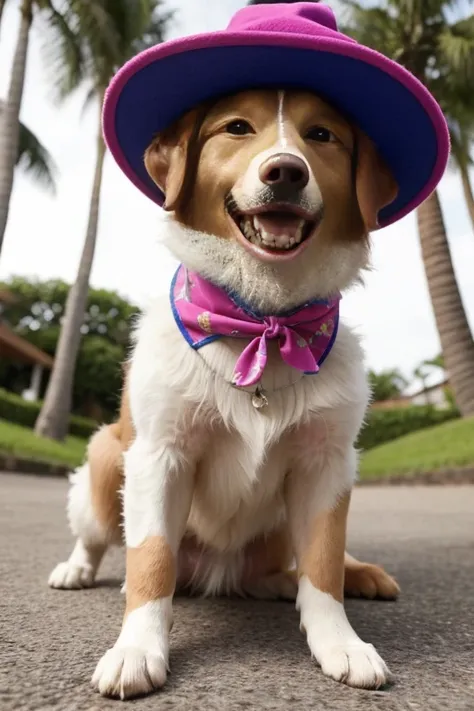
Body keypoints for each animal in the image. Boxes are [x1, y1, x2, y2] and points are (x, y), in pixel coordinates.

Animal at [51, 86, 400, 700]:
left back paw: (323, 577)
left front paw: (340, 641)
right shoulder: (159, 456)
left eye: (322, 135)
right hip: (104, 459)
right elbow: (151, 561)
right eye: (237, 127)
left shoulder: (327, 465)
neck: (262, 323)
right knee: (98, 537)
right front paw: (137, 648)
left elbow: (324, 564)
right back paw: (78, 568)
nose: (285, 171)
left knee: (292, 567)